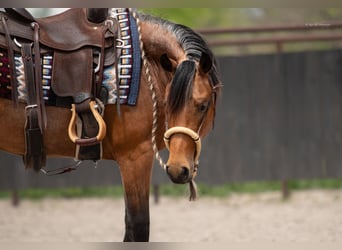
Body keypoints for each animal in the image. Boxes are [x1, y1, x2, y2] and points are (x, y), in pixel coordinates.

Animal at [0, 8, 220, 241]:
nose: (178, 169)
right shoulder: (135, 156)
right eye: (168, 103)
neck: (145, 67)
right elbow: (138, 226)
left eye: (203, 105)